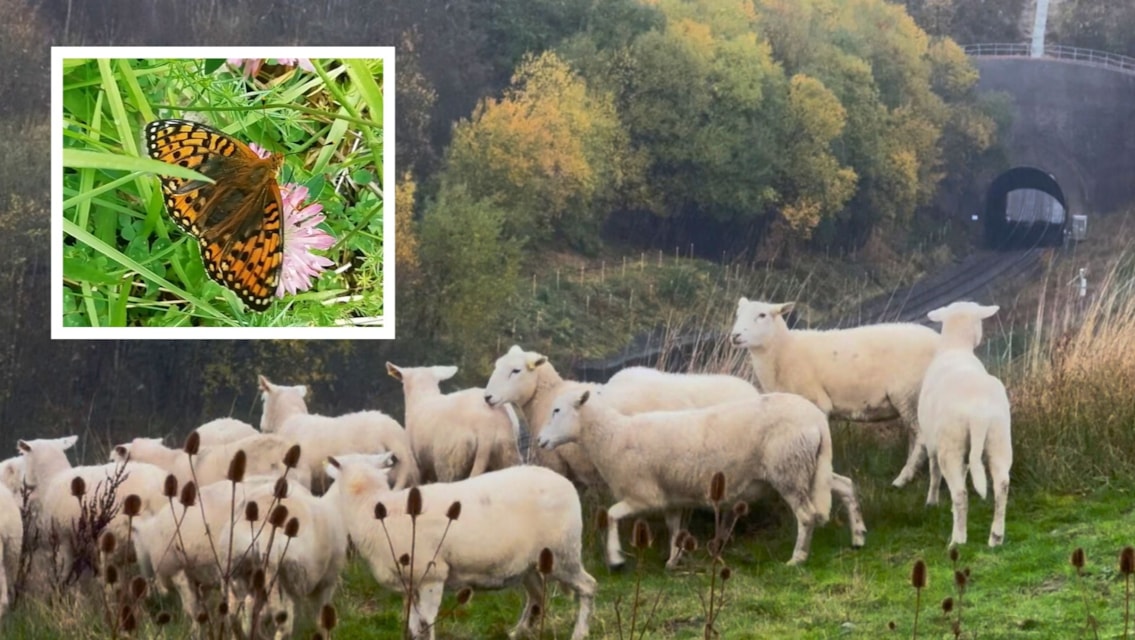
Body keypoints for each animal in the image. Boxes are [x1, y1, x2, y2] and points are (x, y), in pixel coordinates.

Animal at [325, 454, 596, 640]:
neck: (372, 505)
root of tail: (566, 484)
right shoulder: (410, 584)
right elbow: (414, 624)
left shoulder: (432, 575)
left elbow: (426, 622)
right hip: (530, 563)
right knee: (538, 596)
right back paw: (518, 632)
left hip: (563, 553)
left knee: (588, 587)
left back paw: (579, 633)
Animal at [537, 388, 867, 568]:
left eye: (557, 410)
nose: (539, 440)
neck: (612, 436)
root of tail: (817, 421)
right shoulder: (669, 498)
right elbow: (674, 527)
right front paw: (673, 560)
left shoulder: (644, 495)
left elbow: (612, 515)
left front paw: (616, 558)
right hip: (811, 466)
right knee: (846, 486)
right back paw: (858, 537)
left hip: (788, 468)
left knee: (807, 516)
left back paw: (797, 558)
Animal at [730, 298, 941, 487]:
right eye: (738, 314)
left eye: (762, 315)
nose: (735, 336)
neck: (783, 351)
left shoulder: (817, 402)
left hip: (909, 394)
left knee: (921, 436)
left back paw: (902, 478)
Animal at [918, 302, 1012, 548]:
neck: (956, 348)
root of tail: (978, 412)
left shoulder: (931, 441)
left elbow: (934, 471)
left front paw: (931, 502)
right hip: (999, 438)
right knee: (1002, 485)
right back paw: (996, 536)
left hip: (950, 443)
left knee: (960, 493)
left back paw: (958, 538)